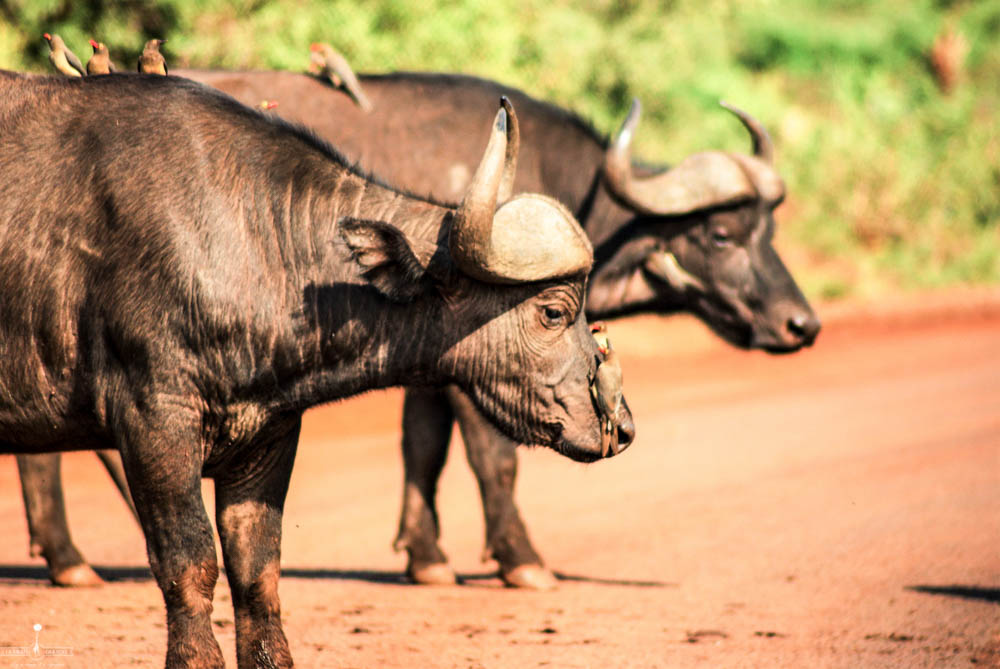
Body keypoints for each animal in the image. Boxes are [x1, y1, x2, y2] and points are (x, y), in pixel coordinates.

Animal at [0, 70, 632, 664]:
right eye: (553, 311)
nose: (620, 426)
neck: (248, 242)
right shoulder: (154, 419)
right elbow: (189, 563)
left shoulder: (268, 433)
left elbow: (257, 569)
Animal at [19, 68, 820, 588]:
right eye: (720, 233)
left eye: (770, 227)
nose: (801, 323)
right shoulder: (473, 361)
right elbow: (491, 457)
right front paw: (522, 559)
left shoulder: (430, 364)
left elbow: (422, 445)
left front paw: (426, 553)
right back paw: (72, 559)